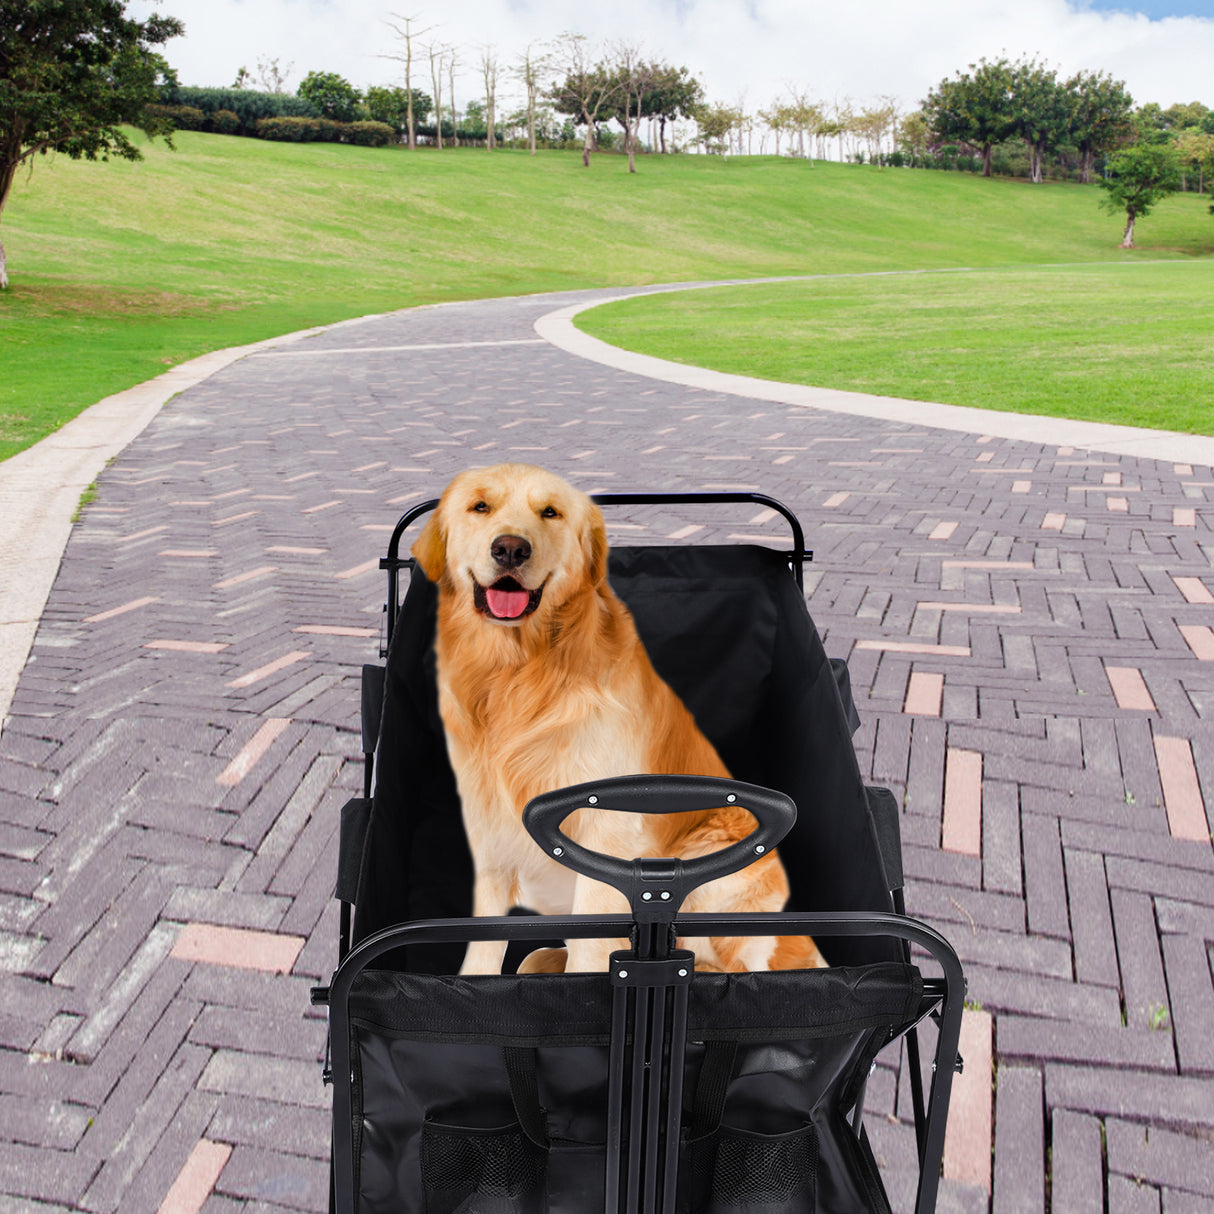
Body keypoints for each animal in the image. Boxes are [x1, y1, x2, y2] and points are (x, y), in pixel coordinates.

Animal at [412, 463, 830, 976]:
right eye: (480, 506)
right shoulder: (490, 833)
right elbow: (484, 951)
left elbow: (591, 950)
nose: (510, 548)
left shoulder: (605, 833)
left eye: (550, 512)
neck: (517, 671)